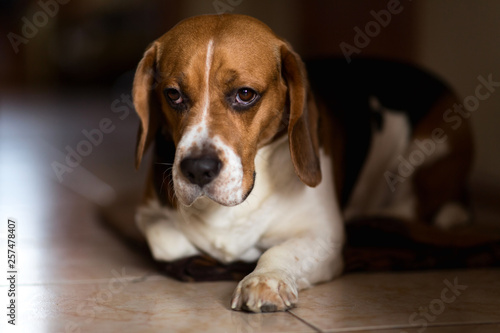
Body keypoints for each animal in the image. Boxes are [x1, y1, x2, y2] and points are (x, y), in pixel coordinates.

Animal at [132, 14, 472, 312]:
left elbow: (281, 250)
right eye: (173, 95)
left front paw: (265, 278)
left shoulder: (324, 235)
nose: (198, 169)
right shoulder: (148, 216)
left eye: (245, 94)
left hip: (429, 150)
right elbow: (169, 242)